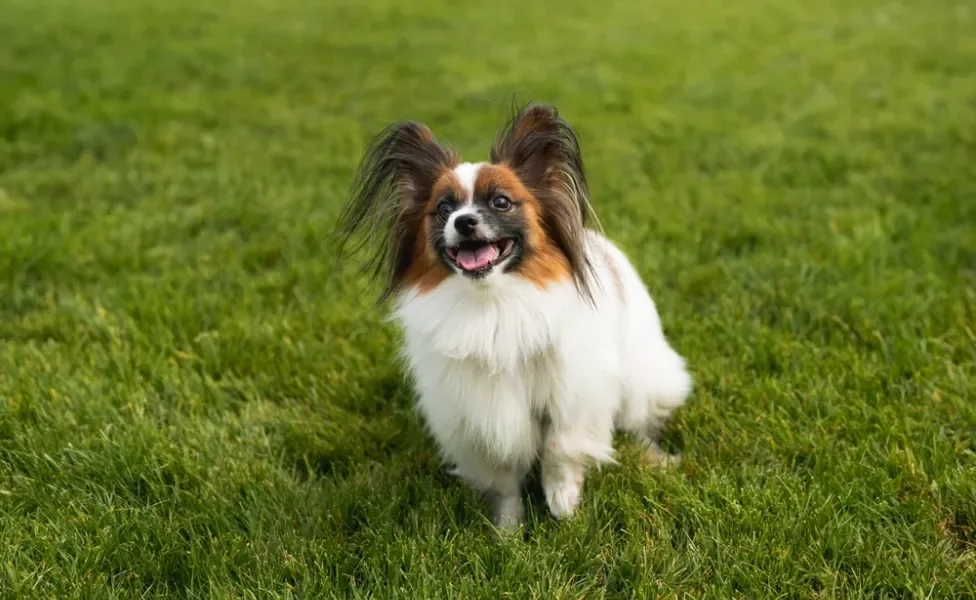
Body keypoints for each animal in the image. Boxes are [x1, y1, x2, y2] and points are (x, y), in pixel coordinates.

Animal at [338, 103, 692, 528]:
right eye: (443, 209)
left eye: (501, 202)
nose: (464, 221)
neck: (493, 303)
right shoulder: (480, 414)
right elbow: (503, 479)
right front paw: (508, 529)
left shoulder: (574, 392)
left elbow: (560, 448)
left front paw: (563, 505)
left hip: (642, 378)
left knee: (639, 420)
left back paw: (655, 458)